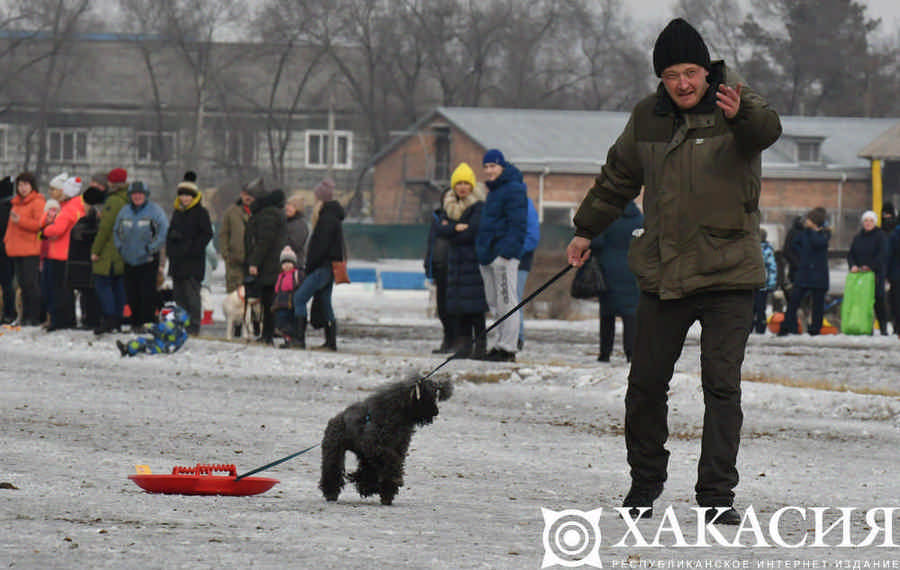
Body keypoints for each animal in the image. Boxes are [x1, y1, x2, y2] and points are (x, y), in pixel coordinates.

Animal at [320, 378, 454, 502]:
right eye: (428, 397)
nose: (436, 412)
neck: (395, 413)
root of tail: (336, 419)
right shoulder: (375, 446)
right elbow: (392, 460)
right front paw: (393, 482)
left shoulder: (395, 448)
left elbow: (392, 465)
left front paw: (387, 490)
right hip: (335, 450)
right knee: (332, 469)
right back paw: (331, 492)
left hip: (362, 454)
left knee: (367, 470)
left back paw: (367, 487)